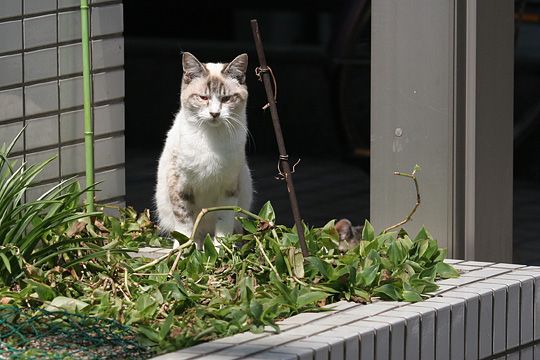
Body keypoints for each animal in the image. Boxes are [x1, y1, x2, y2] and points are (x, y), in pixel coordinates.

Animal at [154, 52, 251, 248]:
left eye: (226, 99)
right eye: (203, 98)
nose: (215, 114)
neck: (210, 139)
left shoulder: (229, 188)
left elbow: (224, 223)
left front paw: (221, 250)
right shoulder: (180, 186)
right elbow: (184, 225)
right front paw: (183, 250)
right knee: (196, 232)